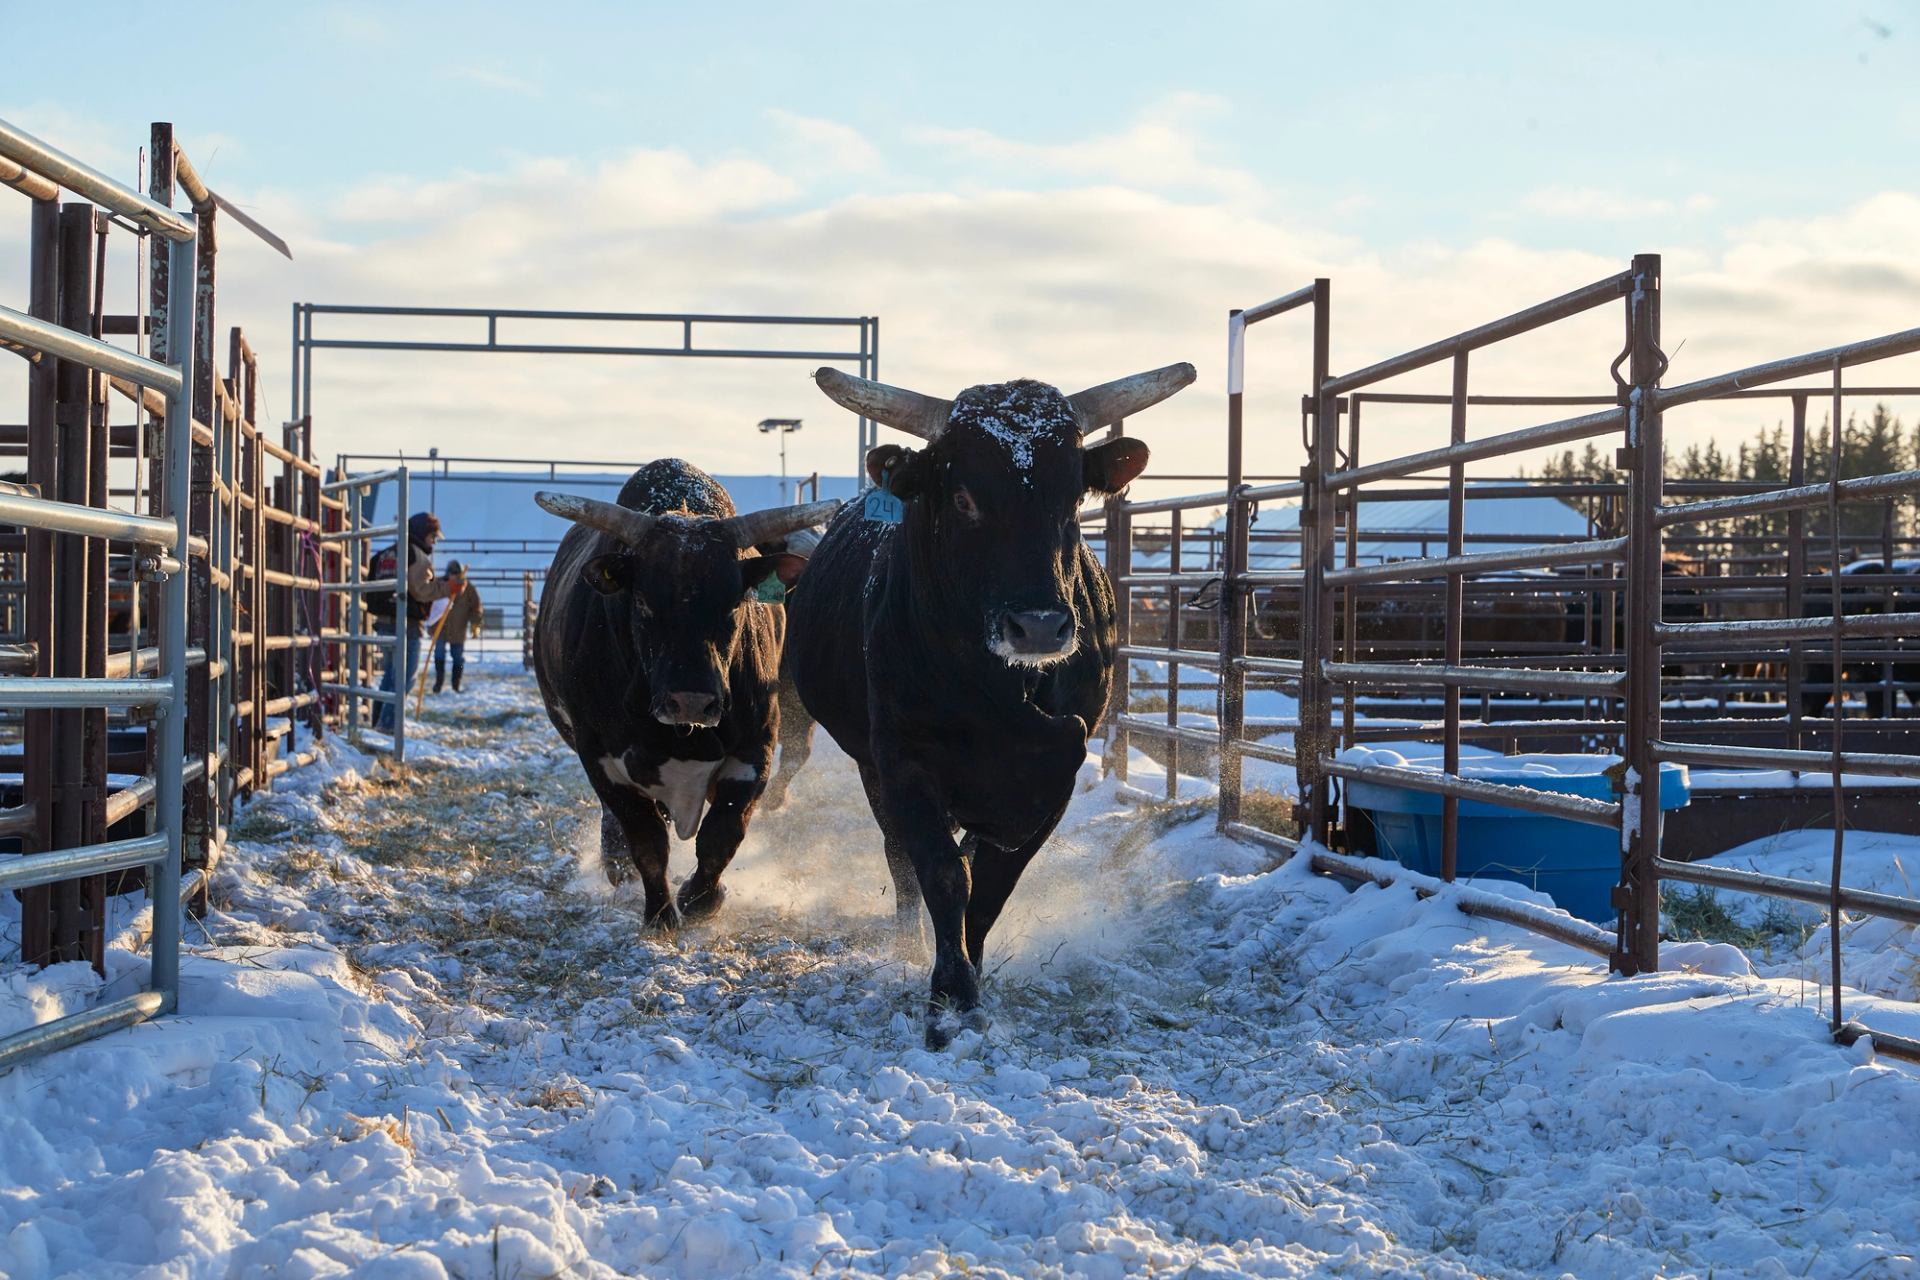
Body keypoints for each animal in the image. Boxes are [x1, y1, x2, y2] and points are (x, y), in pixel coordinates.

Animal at [531, 459, 839, 926]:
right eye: (642, 602)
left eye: (736, 603)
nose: (691, 701)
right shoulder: (601, 758)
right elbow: (645, 839)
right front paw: (659, 912)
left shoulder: (756, 749)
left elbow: (722, 834)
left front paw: (702, 897)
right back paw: (615, 863)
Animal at [787, 363, 1192, 1047]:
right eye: (963, 498)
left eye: (1072, 498)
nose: (1039, 627)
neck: (1000, 695)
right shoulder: (904, 764)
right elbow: (944, 875)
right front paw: (949, 998)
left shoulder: (1054, 779)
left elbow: (991, 887)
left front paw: (972, 979)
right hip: (871, 765)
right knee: (901, 859)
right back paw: (908, 941)